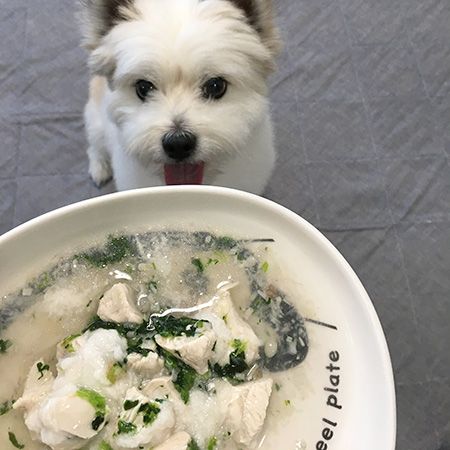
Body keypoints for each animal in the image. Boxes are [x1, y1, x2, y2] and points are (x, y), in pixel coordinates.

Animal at [79, 0, 280, 194]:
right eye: (143, 88)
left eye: (216, 86)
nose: (177, 144)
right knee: (94, 145)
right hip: (96, 120)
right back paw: (99, 167)